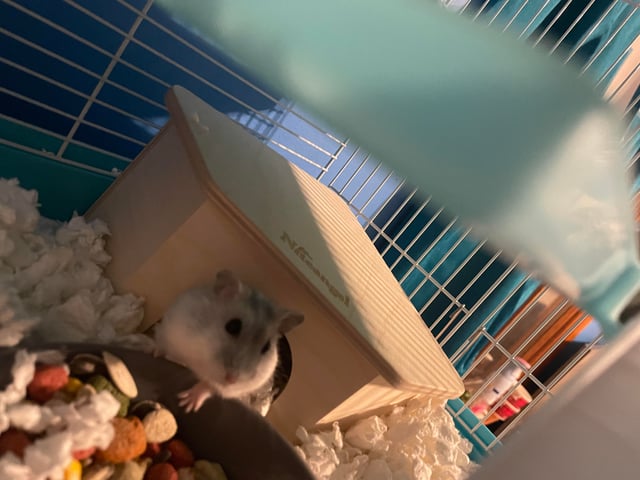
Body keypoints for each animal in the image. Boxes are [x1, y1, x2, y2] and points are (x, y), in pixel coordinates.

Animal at [154, 269, 304, 413]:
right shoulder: (171, 330)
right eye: (233, 326)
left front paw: (187, 403)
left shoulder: (231, 388)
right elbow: (163, 346)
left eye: (266, 347)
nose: (232, 380)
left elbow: (208, 386)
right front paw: (156, 354)